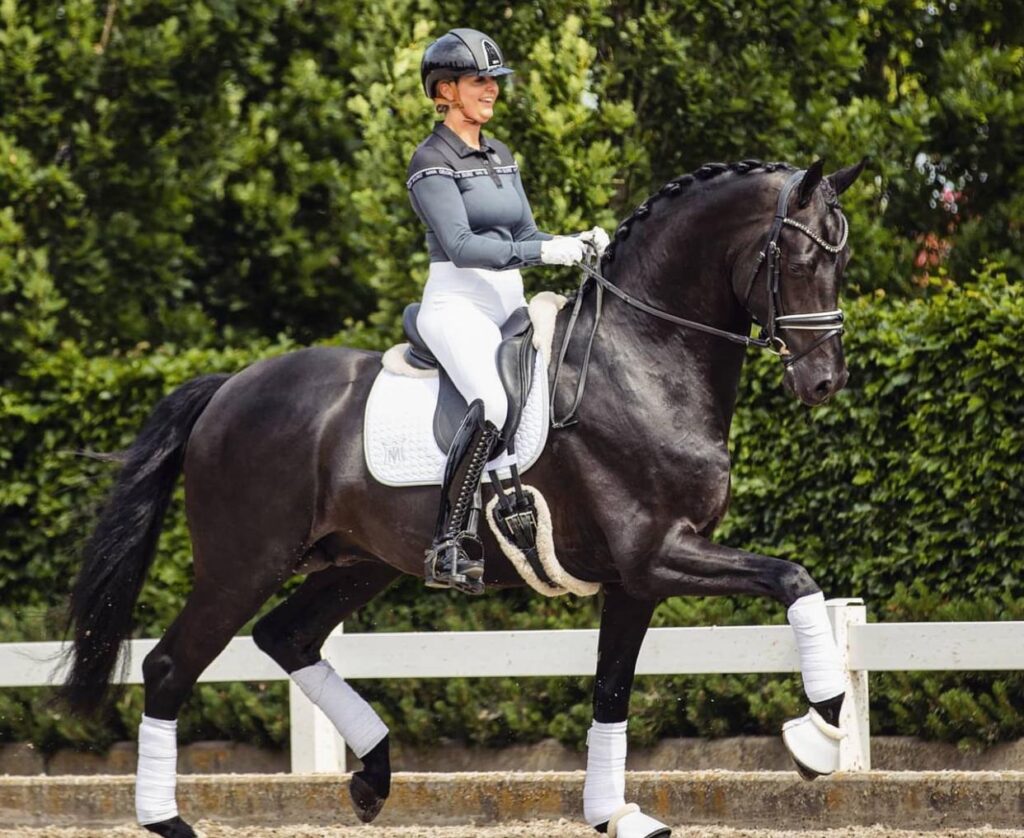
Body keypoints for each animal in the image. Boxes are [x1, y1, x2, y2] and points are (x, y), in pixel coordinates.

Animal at [61, 157, 865, 838]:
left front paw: (613, 814)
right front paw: (819, 735)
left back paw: (373, 776)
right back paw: (171, 821)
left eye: (842, 260)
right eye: (799, 261)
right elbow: (794, 579)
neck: (641, 358)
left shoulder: (636, 580)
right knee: (170, 667)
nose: (823, 381)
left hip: (357, 563)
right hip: (243, 565)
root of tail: (229, 387)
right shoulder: (657, 553)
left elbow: (611, 691)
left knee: (285, 637)